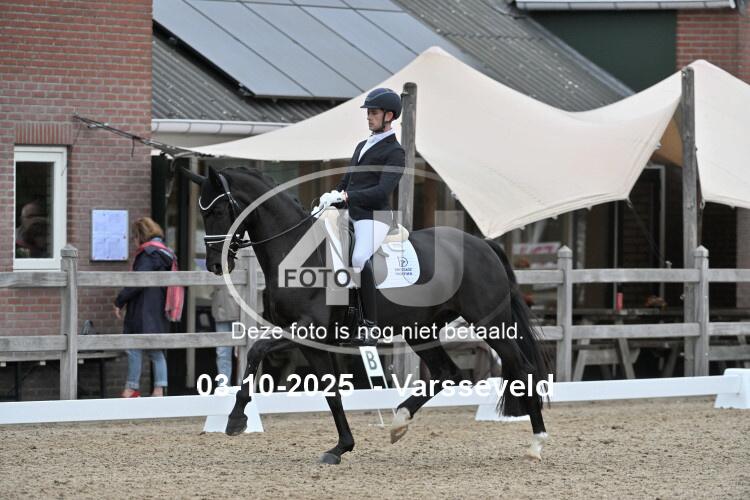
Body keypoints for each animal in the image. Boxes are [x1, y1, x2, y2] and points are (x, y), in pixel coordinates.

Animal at [184, 164, 550, 464]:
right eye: (203, 211)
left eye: (220, 209)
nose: (215, 264)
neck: (297, 252)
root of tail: (482, 245)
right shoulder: (308, 342)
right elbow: (331, 392)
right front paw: (340, 447)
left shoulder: (307, 329)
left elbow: (257, 350)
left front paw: (236, 419)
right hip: (421, 329)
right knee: (447, 372)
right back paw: (399, 422)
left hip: (489, 323)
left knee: (523, 368)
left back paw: (537, 443)